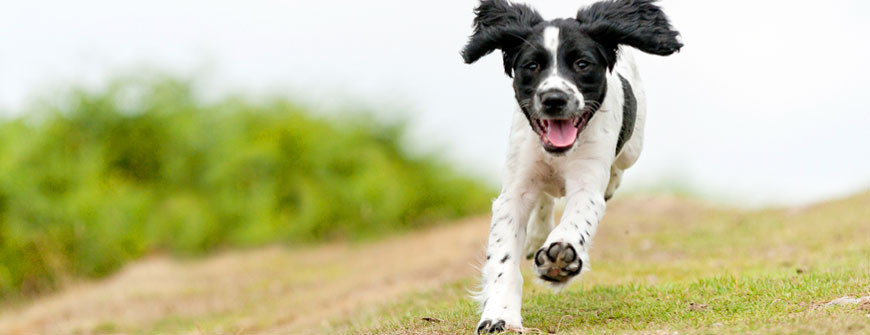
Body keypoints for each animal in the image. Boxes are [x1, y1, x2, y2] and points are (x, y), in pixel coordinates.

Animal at [464, 0, 680, 332]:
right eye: (531, 66)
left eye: (582, 64)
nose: (554, 98)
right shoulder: (514, 191)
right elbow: (503, 259)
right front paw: (499, 315)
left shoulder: (587, 184)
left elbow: (577, 220)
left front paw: (561, 258)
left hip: (633, 148)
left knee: (618, 168)